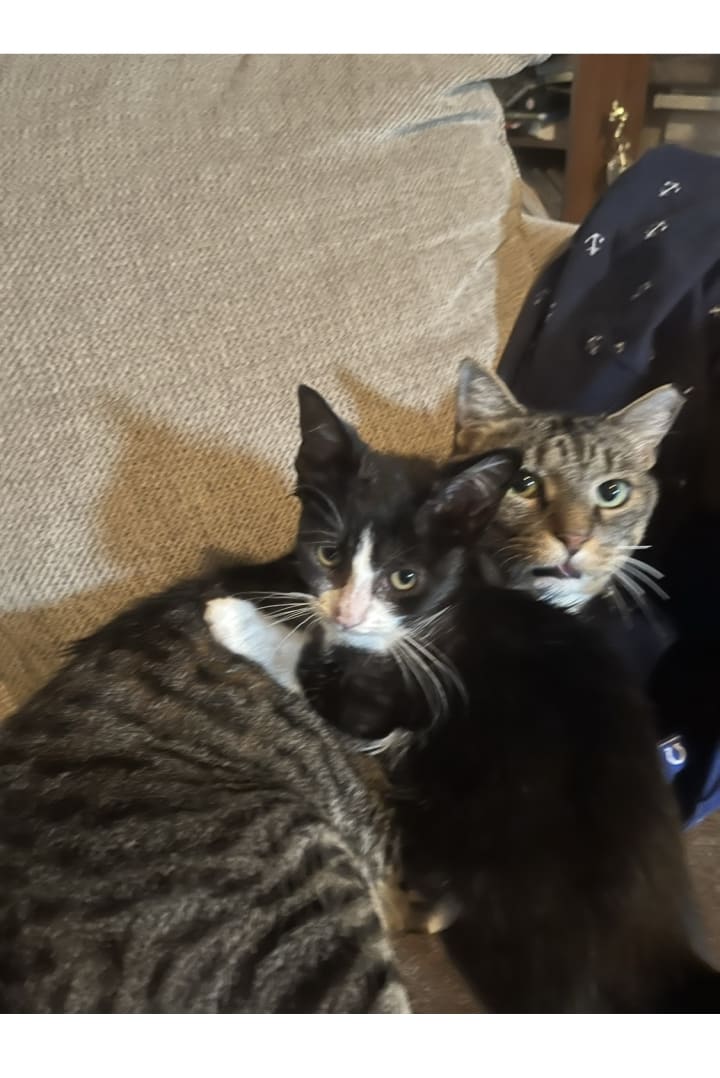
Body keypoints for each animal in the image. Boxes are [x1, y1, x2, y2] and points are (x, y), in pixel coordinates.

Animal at [209, 386, 720, 1013]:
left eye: (404, 578)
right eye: (328, 555)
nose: (347, 612)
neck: (458, 596)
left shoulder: (412, 691)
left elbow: (321, 672)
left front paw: (235, 618)